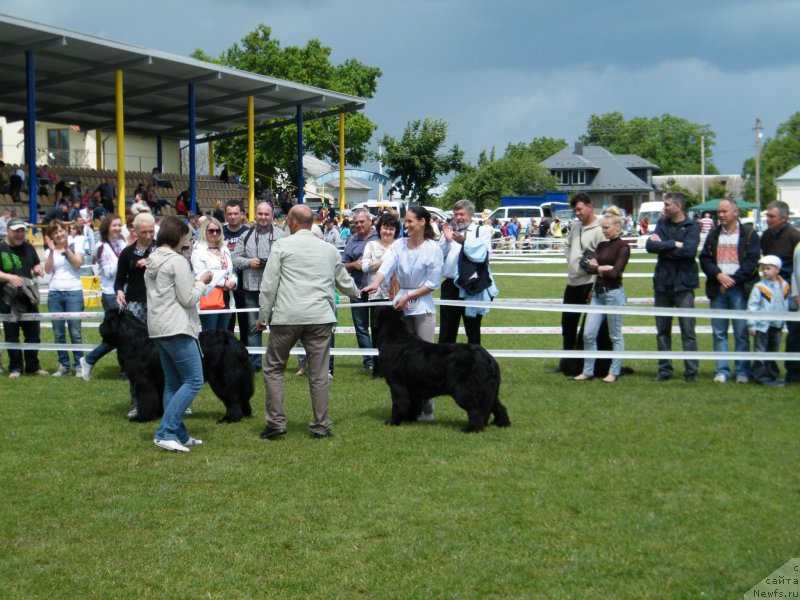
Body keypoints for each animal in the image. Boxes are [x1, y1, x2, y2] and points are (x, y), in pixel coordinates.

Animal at [98, 312, 253, 424]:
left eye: (106, 320)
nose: (100, 326)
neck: (135, 341)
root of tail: (237, 344)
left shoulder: (144, 382)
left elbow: (146, 400)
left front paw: (142, 418)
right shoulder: (160, 382)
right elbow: (159, 399)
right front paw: (160, 414)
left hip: (222, 378)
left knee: (233, 398)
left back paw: (230, 418)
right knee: (242, 396)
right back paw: (245, 414)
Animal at [374, 310, 510, 432]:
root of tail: (487, 357)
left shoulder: (397, 385)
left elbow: (398, 404)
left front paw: (393, 422)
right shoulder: (413, 388)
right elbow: (413, 404)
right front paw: (409, 418)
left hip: (462, 389)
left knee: (475, 409)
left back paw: (471, 429)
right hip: (488, 389)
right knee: (498, 406)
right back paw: (502, 423)